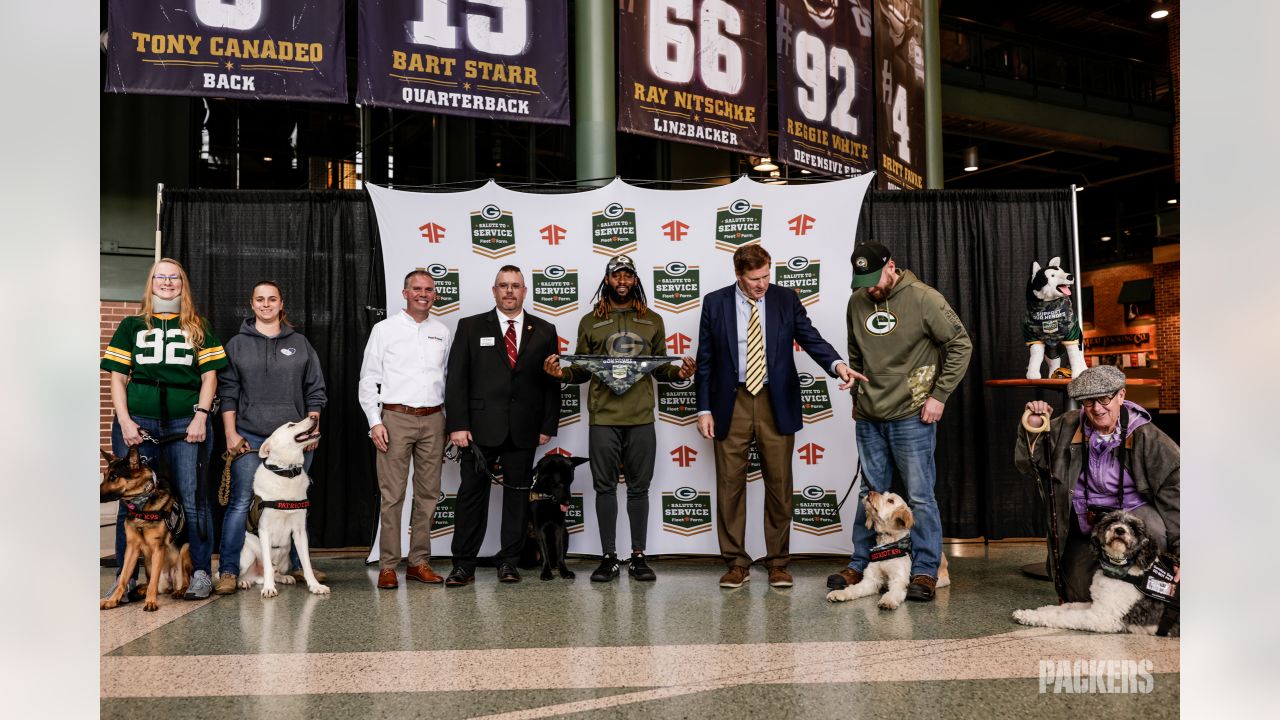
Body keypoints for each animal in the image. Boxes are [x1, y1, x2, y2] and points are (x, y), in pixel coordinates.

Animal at [99, 445, 192, 607]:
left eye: (113, 477)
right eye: (104, 476)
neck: (141, 505)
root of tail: (171, 584)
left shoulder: (158, 547)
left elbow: (154, 579)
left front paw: (150, 602)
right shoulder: (132, 547)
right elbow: (123, 577)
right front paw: (113, 600)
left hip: (185, 550)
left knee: (184, 581)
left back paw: (180, 591)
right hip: (148, 563)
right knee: (149, 582)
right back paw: (139, 591)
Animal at [238, 412, 330, 597]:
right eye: (291, 425)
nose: (314, 417)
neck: (287, 472)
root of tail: (255, 576)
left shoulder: (300, 531)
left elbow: (306, 564)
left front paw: (314, 585)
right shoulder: (265, 530)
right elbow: (267, 564)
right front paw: (268, 588)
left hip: (285, 558)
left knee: (274, 571)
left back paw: (283, 578)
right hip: (246, 557)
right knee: (246, 573)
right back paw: (243, 581)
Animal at [527, 450, 586, 579]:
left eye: (570, 483)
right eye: (559, 484)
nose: (568, 503)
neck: (547, 498)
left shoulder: (559, 527)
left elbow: (559, 550)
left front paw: (564, 570)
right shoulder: (539, 527)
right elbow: (544, 552)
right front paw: (546, 571)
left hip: (566, 533)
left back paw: (554, 565)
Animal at [1008, 509, 1177, 632]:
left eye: (1134, 528)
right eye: (1112, 521)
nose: (1120, 530)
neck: (1119, 570)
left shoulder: (1102, 617)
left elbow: (1065, 616)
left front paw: (1034, 617)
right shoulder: (1095, 604)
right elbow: (1066, 607)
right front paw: (1027, 613)